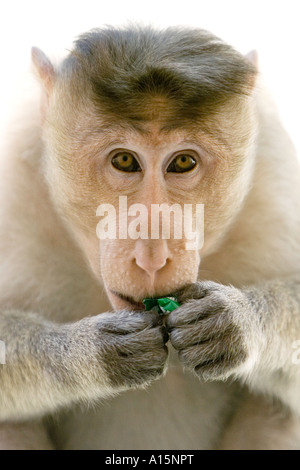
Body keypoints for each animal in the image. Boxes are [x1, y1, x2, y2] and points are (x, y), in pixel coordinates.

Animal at [0, 23, 300, 450]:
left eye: (183, 162)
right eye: (124, 160)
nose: (153, 256)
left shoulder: (275, 168)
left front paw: (236, 322)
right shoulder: (13, 169)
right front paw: (92, 351)